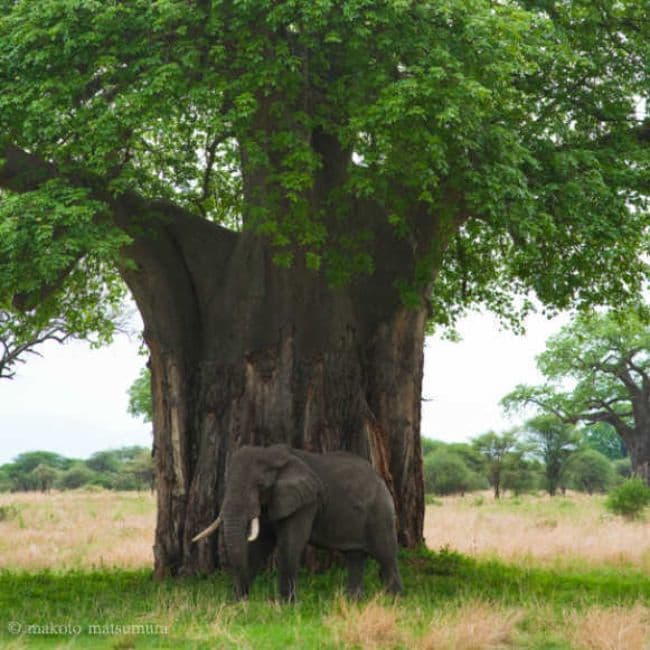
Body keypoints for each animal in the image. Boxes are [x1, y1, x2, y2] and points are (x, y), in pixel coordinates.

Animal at [191, 442, 400, 600]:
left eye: (261, 485)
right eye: (226, 482)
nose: (243, 597)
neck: (272, 454)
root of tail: (382, 480)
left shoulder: (306, 501)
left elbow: (290, 543)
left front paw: (285, 606)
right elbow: (260, 545)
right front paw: (238, 605)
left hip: (380, 513)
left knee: (386, 555)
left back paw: (393, 601)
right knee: (355, 557)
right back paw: (354, 602)